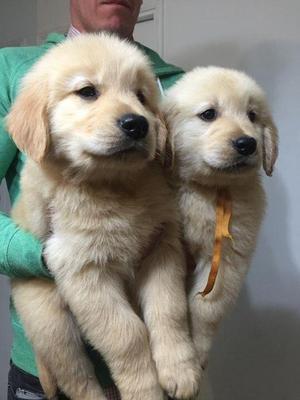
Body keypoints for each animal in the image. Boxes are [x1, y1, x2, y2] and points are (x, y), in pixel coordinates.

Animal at [6, 35, 199, 400]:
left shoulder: (162, 245)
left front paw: (180, 370)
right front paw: (146, 392)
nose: (137, 124)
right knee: (76, 377)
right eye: (87, 92)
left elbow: (169, 309)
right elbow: (128, 335)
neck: (112, 186)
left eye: (141, 96)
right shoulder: (82, 269)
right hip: (52, 322)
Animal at [163, 69, 278, 382]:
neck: (211, 190)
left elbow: (207, 310)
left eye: (252, 115)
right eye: (209, 114)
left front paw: (198, 354)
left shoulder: (227, 260)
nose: (247, 143)